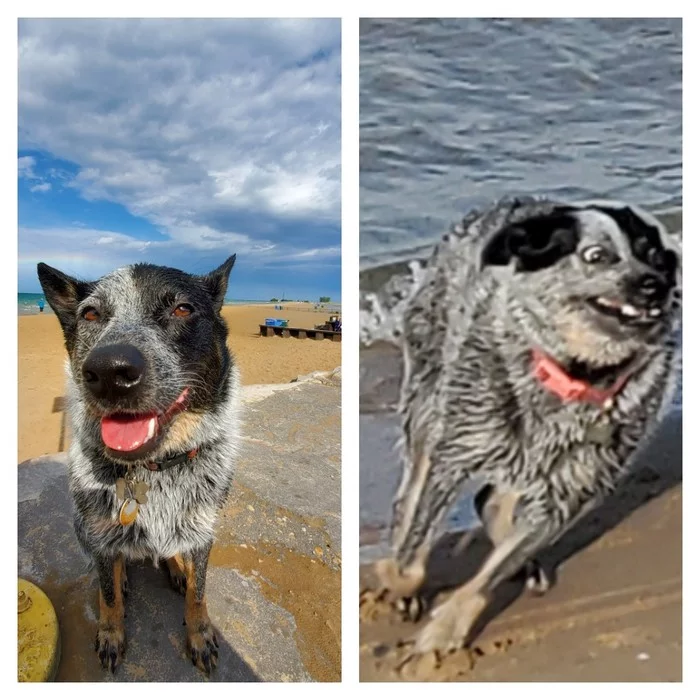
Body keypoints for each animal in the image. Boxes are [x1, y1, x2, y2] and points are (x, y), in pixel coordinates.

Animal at [38, 256, 241, 672]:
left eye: (182, 309)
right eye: (91, 314)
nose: (109, 372)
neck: (153, 468)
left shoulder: (203, 528)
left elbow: (199, 592)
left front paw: (199, 633)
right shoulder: (97, 529)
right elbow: (108, 596)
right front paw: (111, 631)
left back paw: (176, 567)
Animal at [374, 197, 680, 656]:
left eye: (655, 255)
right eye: (596, 255)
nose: (654, 284)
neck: (577, 375)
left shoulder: (572, 487)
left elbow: (496, 569)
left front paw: (446, 628)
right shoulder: (458, 448)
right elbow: (414, 550)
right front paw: (399, 580)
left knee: (492, 502)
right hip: (430, 395)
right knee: (411, 494)